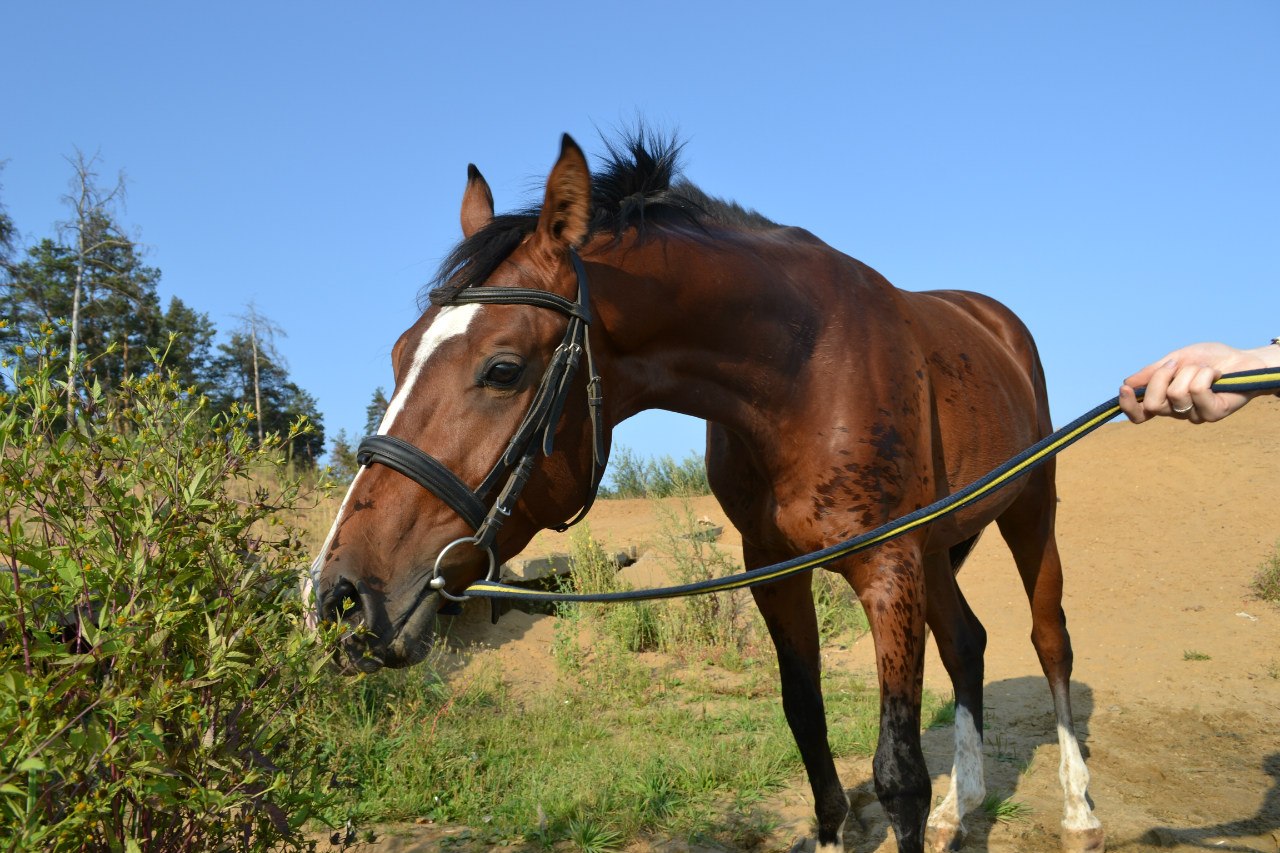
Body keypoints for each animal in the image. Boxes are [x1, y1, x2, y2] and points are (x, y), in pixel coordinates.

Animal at [314, 133, 1105, 850]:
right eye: (399, 351)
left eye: (502, 369)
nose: (339, 593)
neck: (808, 370)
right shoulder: (777, 569)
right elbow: (808, 726)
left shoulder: (889, 567)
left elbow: (899, 773)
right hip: (938, 548)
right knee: (966, 643)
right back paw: (958, 808)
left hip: (1028, 513)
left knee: (1050, 640)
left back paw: (1079, 810)